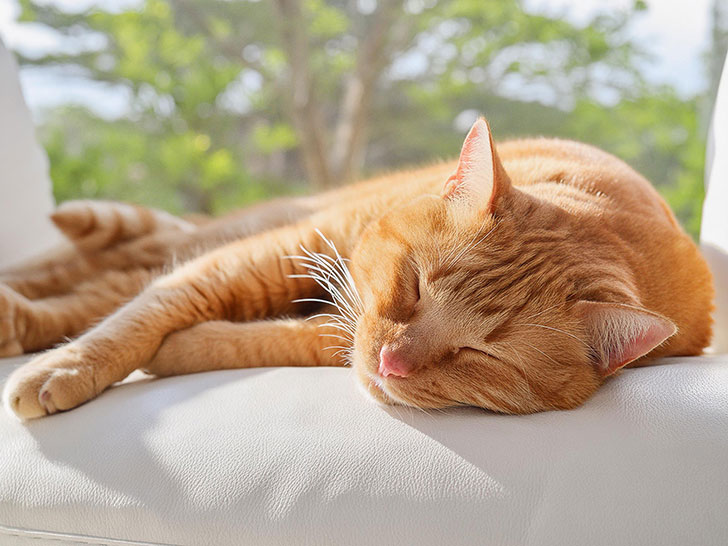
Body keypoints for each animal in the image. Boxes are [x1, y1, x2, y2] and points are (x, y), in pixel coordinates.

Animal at [0, 118, 712, 416]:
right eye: (415, 285)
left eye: (482, 355)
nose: (393, 363)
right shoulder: (268, 254)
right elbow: (152, 308)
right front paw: (72, 367)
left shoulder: (324, 327)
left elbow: (274, 339)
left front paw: (184, 350)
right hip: (237, 232)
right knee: (96, 274)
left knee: (96, 287)